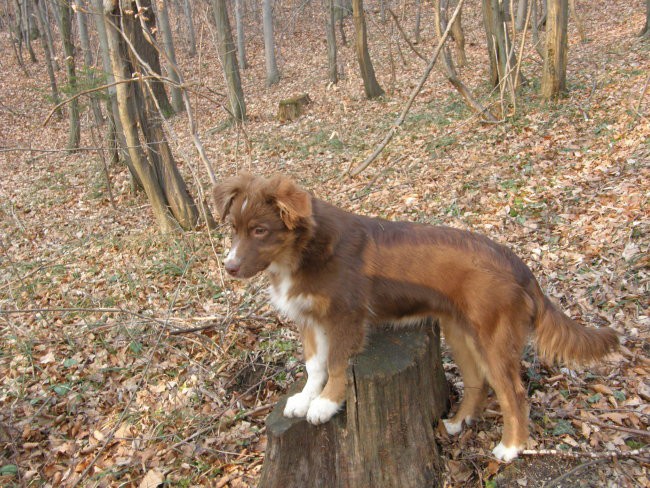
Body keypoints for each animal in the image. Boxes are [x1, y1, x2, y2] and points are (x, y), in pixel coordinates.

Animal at [213, 173, 616, 462]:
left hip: (494, 338)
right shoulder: (311, 320)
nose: (229, 268)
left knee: (513, 393)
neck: (302, 251)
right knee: (477, 381)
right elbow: (315, 365)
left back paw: (511, 448)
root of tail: (519, 266)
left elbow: (339, 365)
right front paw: (305, 398)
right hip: (459, 333)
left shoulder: (346, 317)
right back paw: (456, 423)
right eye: (233, 229)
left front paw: (326, 404)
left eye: (260, 230)